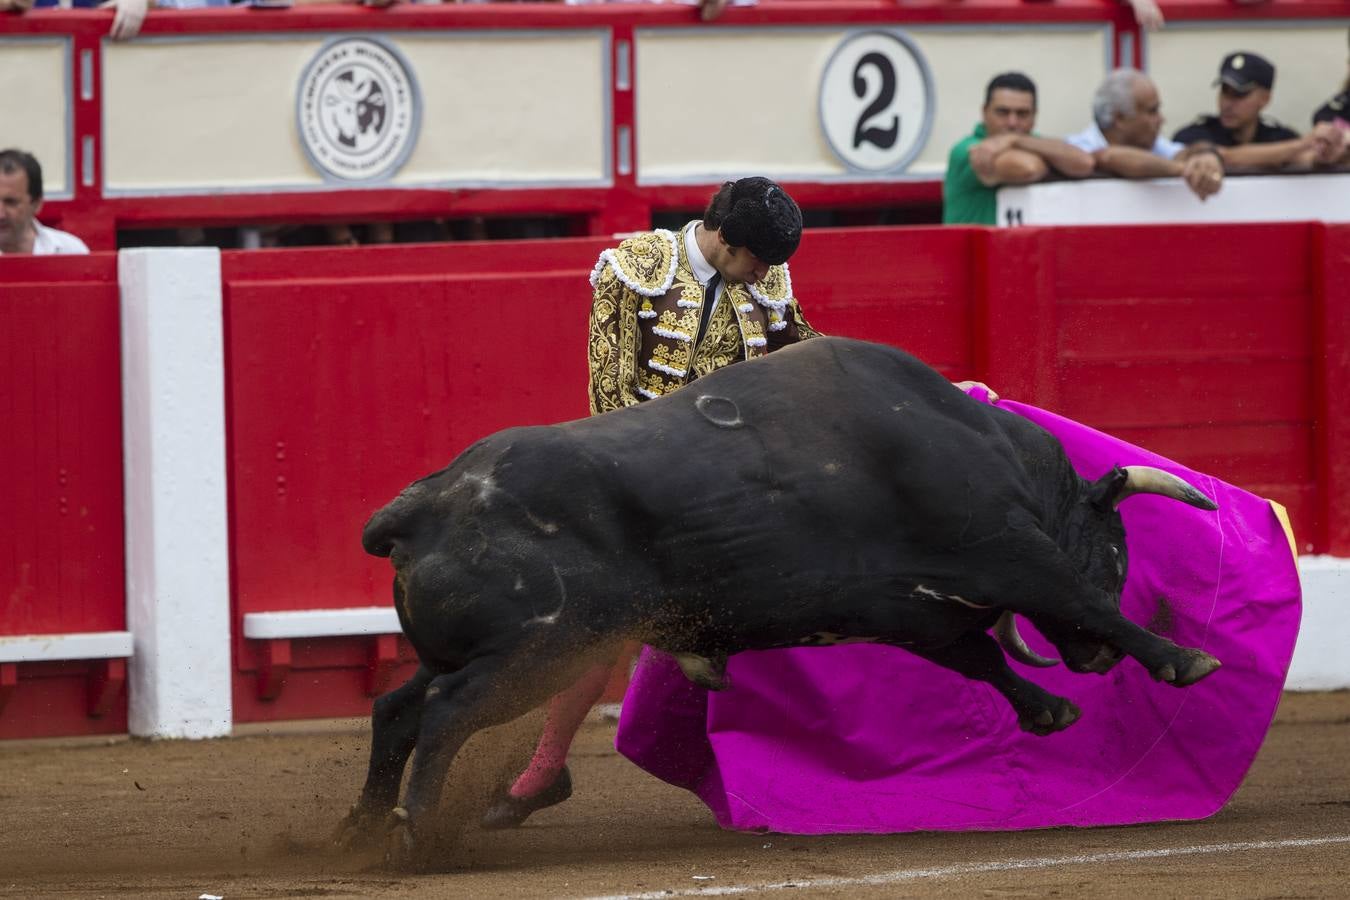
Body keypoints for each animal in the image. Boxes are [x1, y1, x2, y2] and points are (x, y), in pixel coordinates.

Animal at [340, 334, 1225, 863]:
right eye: (1118, 548)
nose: (1095, 661)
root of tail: (425, 505)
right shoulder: (1008, 549)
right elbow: (1077, 598)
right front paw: (1185, 660)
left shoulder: (912, 611)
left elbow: (978, 658)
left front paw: (1049, 710)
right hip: (540, 646)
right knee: (448, 712)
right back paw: (416, 832)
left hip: (478, 650)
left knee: (397, 709)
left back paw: (359, 830)